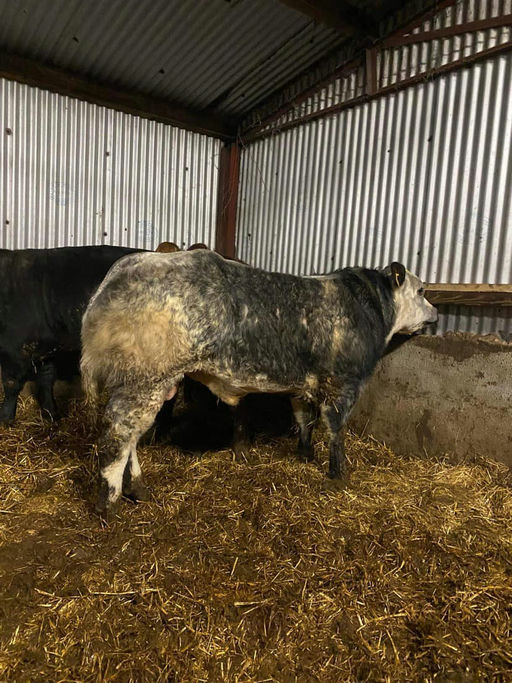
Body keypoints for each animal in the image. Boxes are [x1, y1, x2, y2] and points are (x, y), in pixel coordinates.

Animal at [0, 245, 145, 424]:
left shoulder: (15, 348)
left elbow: (11, 384)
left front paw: (5, 419)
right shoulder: (46, 349)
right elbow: (46, 380)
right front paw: (51, 415)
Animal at [81, 250, 437, 515]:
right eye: (421, 291)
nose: (435, 314)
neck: (367, 310)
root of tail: (124, 268)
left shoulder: (302, 384)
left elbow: (304, 420)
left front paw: (305, 454)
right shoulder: (342, 383)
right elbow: (336, 432)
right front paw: (339, 476)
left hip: (143, 383)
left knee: (131, 436)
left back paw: (137, 488)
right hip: (146, 379)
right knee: (118, 435)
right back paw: (109, 503)